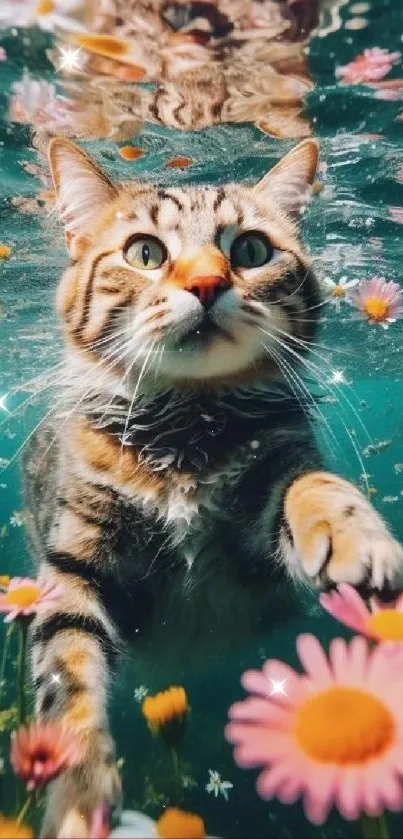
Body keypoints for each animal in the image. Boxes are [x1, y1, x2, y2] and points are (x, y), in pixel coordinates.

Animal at [23, 136, 403, 832]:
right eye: (145, 253)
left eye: (250, 250)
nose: (206, 284)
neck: (188, 427)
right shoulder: (74, 564)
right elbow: (68, 683)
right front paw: (78, 793)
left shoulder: (274, 477)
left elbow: (311, 486)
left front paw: (353, 535)